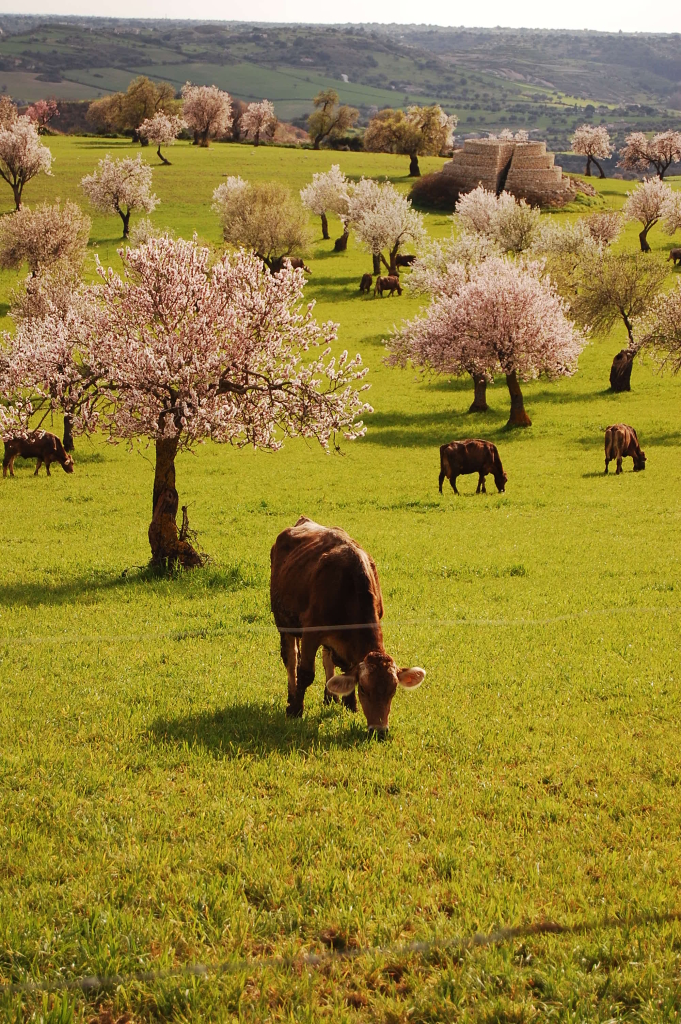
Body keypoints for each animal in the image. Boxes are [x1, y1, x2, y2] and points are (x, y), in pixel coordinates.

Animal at [270, 520, 426, 737]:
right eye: (364, 690)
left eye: (393, 691)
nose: (379, 731)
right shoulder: (311, 633)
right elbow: (306, 673)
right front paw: (296, 710)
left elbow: (347, 669)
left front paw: (350, 705)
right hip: (284, 622)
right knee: (291, 658)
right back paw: (292, 698)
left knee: (327, 658)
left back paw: (330, 697)